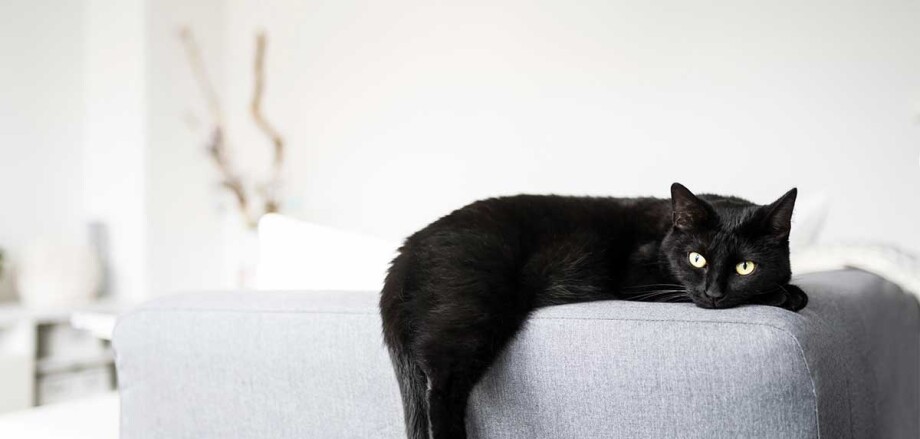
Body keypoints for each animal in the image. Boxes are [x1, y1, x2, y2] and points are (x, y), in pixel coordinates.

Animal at [378, 183, 808, 439]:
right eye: (697, 259)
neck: (664, 232)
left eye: (745, 267)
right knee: (441, 387)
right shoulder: (642, 280)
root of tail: (407, 248)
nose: (714, 293)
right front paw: (788, 295)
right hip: (474, 311)